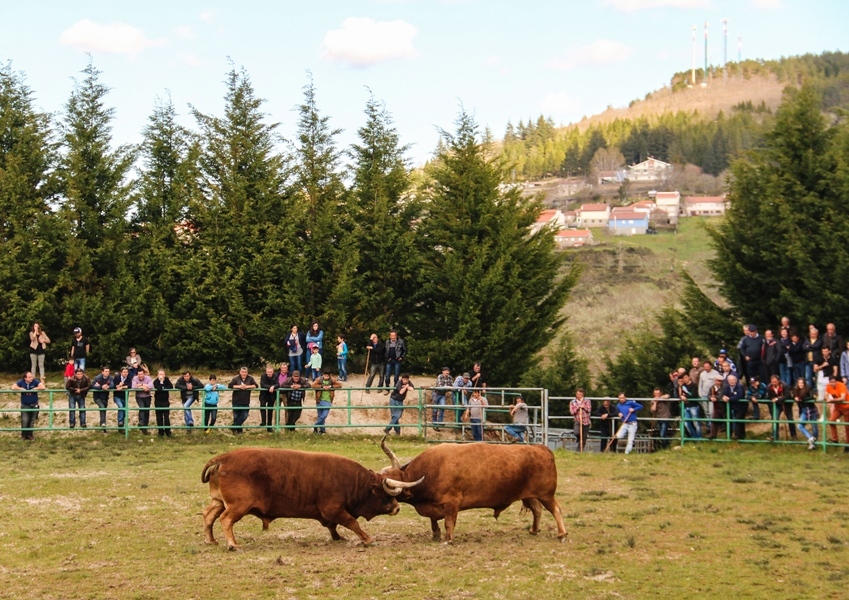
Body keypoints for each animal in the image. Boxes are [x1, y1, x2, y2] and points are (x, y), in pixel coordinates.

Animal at [200, 446, 424, 548]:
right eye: (385, 495)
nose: (397, 507)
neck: (355, 482)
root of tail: (224, 458)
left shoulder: (330, 514)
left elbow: (333, 526)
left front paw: (338, 537)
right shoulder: (334, 509)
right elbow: (352, 522)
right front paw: (367, 538)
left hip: (219, 502)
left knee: (209, 516)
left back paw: (211, 540)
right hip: (237, 506)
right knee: (225, 519)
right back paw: (232, 544)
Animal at [380, 436, 568, 544]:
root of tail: (541, 448)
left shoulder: (451, 503)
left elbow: (449, 522)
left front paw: (447, 539)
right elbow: (434, 521)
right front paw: (436, 535)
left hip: (546, 495)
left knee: (556, 509)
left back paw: (562, 534)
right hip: (530, 495)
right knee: (537, 510)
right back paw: (534, 530)